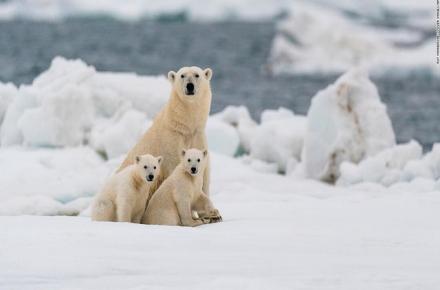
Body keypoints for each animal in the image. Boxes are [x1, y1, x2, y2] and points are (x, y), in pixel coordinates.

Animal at [117, 66, 213, 198]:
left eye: (196, 75)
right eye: (182, 75)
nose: (190, 86)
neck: (185, 127)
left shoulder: (198, 137)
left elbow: (204, 174)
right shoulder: (171, 143)